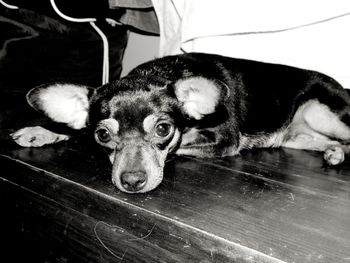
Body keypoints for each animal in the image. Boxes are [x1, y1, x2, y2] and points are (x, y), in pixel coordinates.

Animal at [9, 52, 350, 194]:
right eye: (103, 135)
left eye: (163, 129)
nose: (132, 181)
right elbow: (77, 132)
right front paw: (42, 131)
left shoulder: (224, 139)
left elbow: (180, 144)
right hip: (296, 135)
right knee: (332, 142)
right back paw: (334, 153)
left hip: (321, 111)